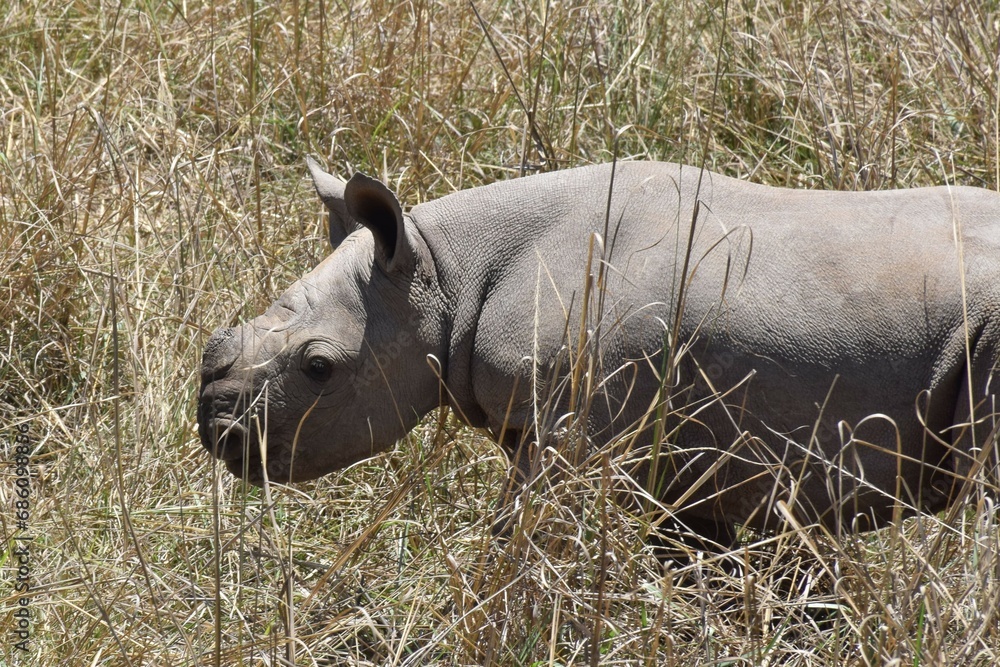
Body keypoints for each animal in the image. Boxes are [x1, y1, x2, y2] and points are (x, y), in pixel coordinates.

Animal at [198, 158, 1000, 547]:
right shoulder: (675, 452)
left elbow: (521, 540)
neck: (446, 270)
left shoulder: (585, 426)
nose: (214, 429)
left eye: (319, 368)